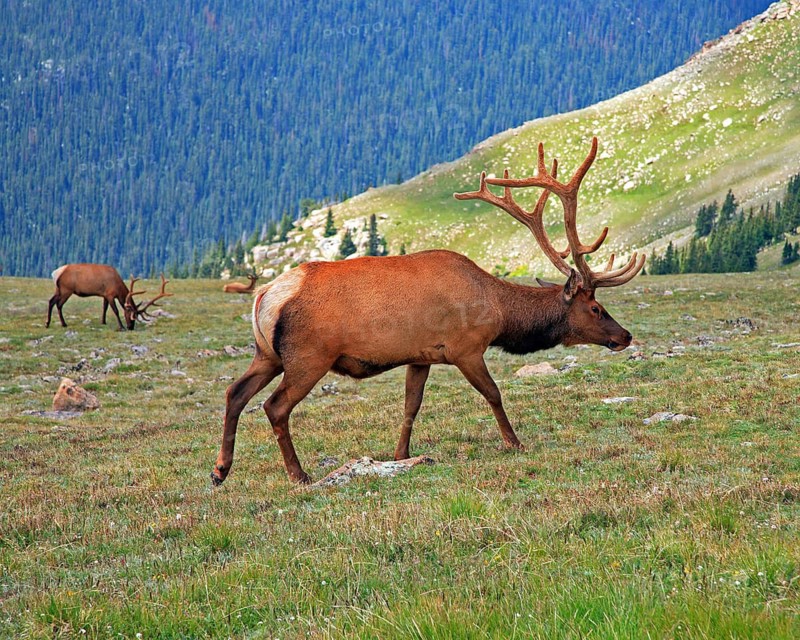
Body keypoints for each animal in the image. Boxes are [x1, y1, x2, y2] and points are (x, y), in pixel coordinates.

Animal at [211, 137, 645, 486]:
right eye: (596, 307)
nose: (625, 336)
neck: (498, 310)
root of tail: (265, 295)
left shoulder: (420, 356)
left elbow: (410, 406)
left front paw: (401, 455)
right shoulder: (465, 347)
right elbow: (493, 393)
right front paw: (515, 442)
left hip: (267, 354)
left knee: (235, 393)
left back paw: (220, 470)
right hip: (308, 356)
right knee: (274, 406)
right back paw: (297, 474)